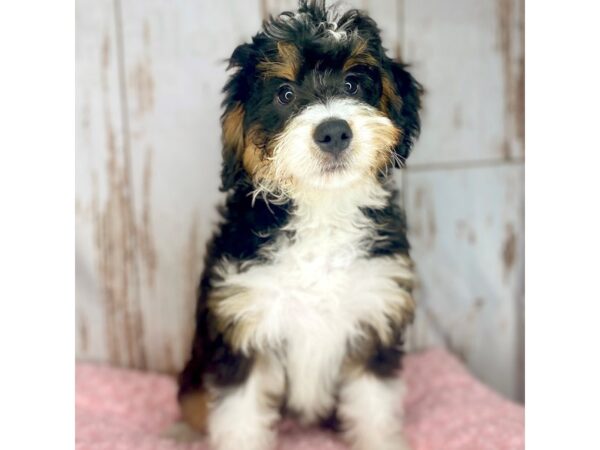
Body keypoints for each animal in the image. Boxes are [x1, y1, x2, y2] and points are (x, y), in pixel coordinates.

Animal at [177, 1, 422, 448]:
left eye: (353, 84)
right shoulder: (243, 325)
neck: (321, 210)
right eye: (285, 94)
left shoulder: (373, 315)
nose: (334, 131)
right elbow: (239, 418)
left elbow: (374, 409)